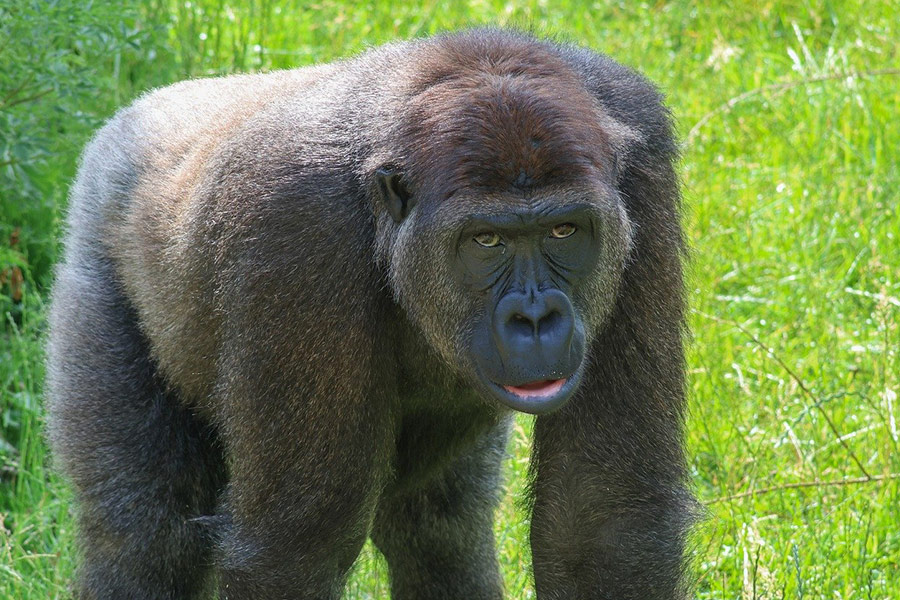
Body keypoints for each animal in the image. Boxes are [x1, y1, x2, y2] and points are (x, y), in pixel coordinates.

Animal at [46, 28, 697, 600]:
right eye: (485, 241)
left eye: (564, 231)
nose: (536, 321)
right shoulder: (294, 222)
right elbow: (294, 546)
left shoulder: (640, 160)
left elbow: (602, 520)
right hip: (96, 239)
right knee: (146, 535)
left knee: (439, 527)